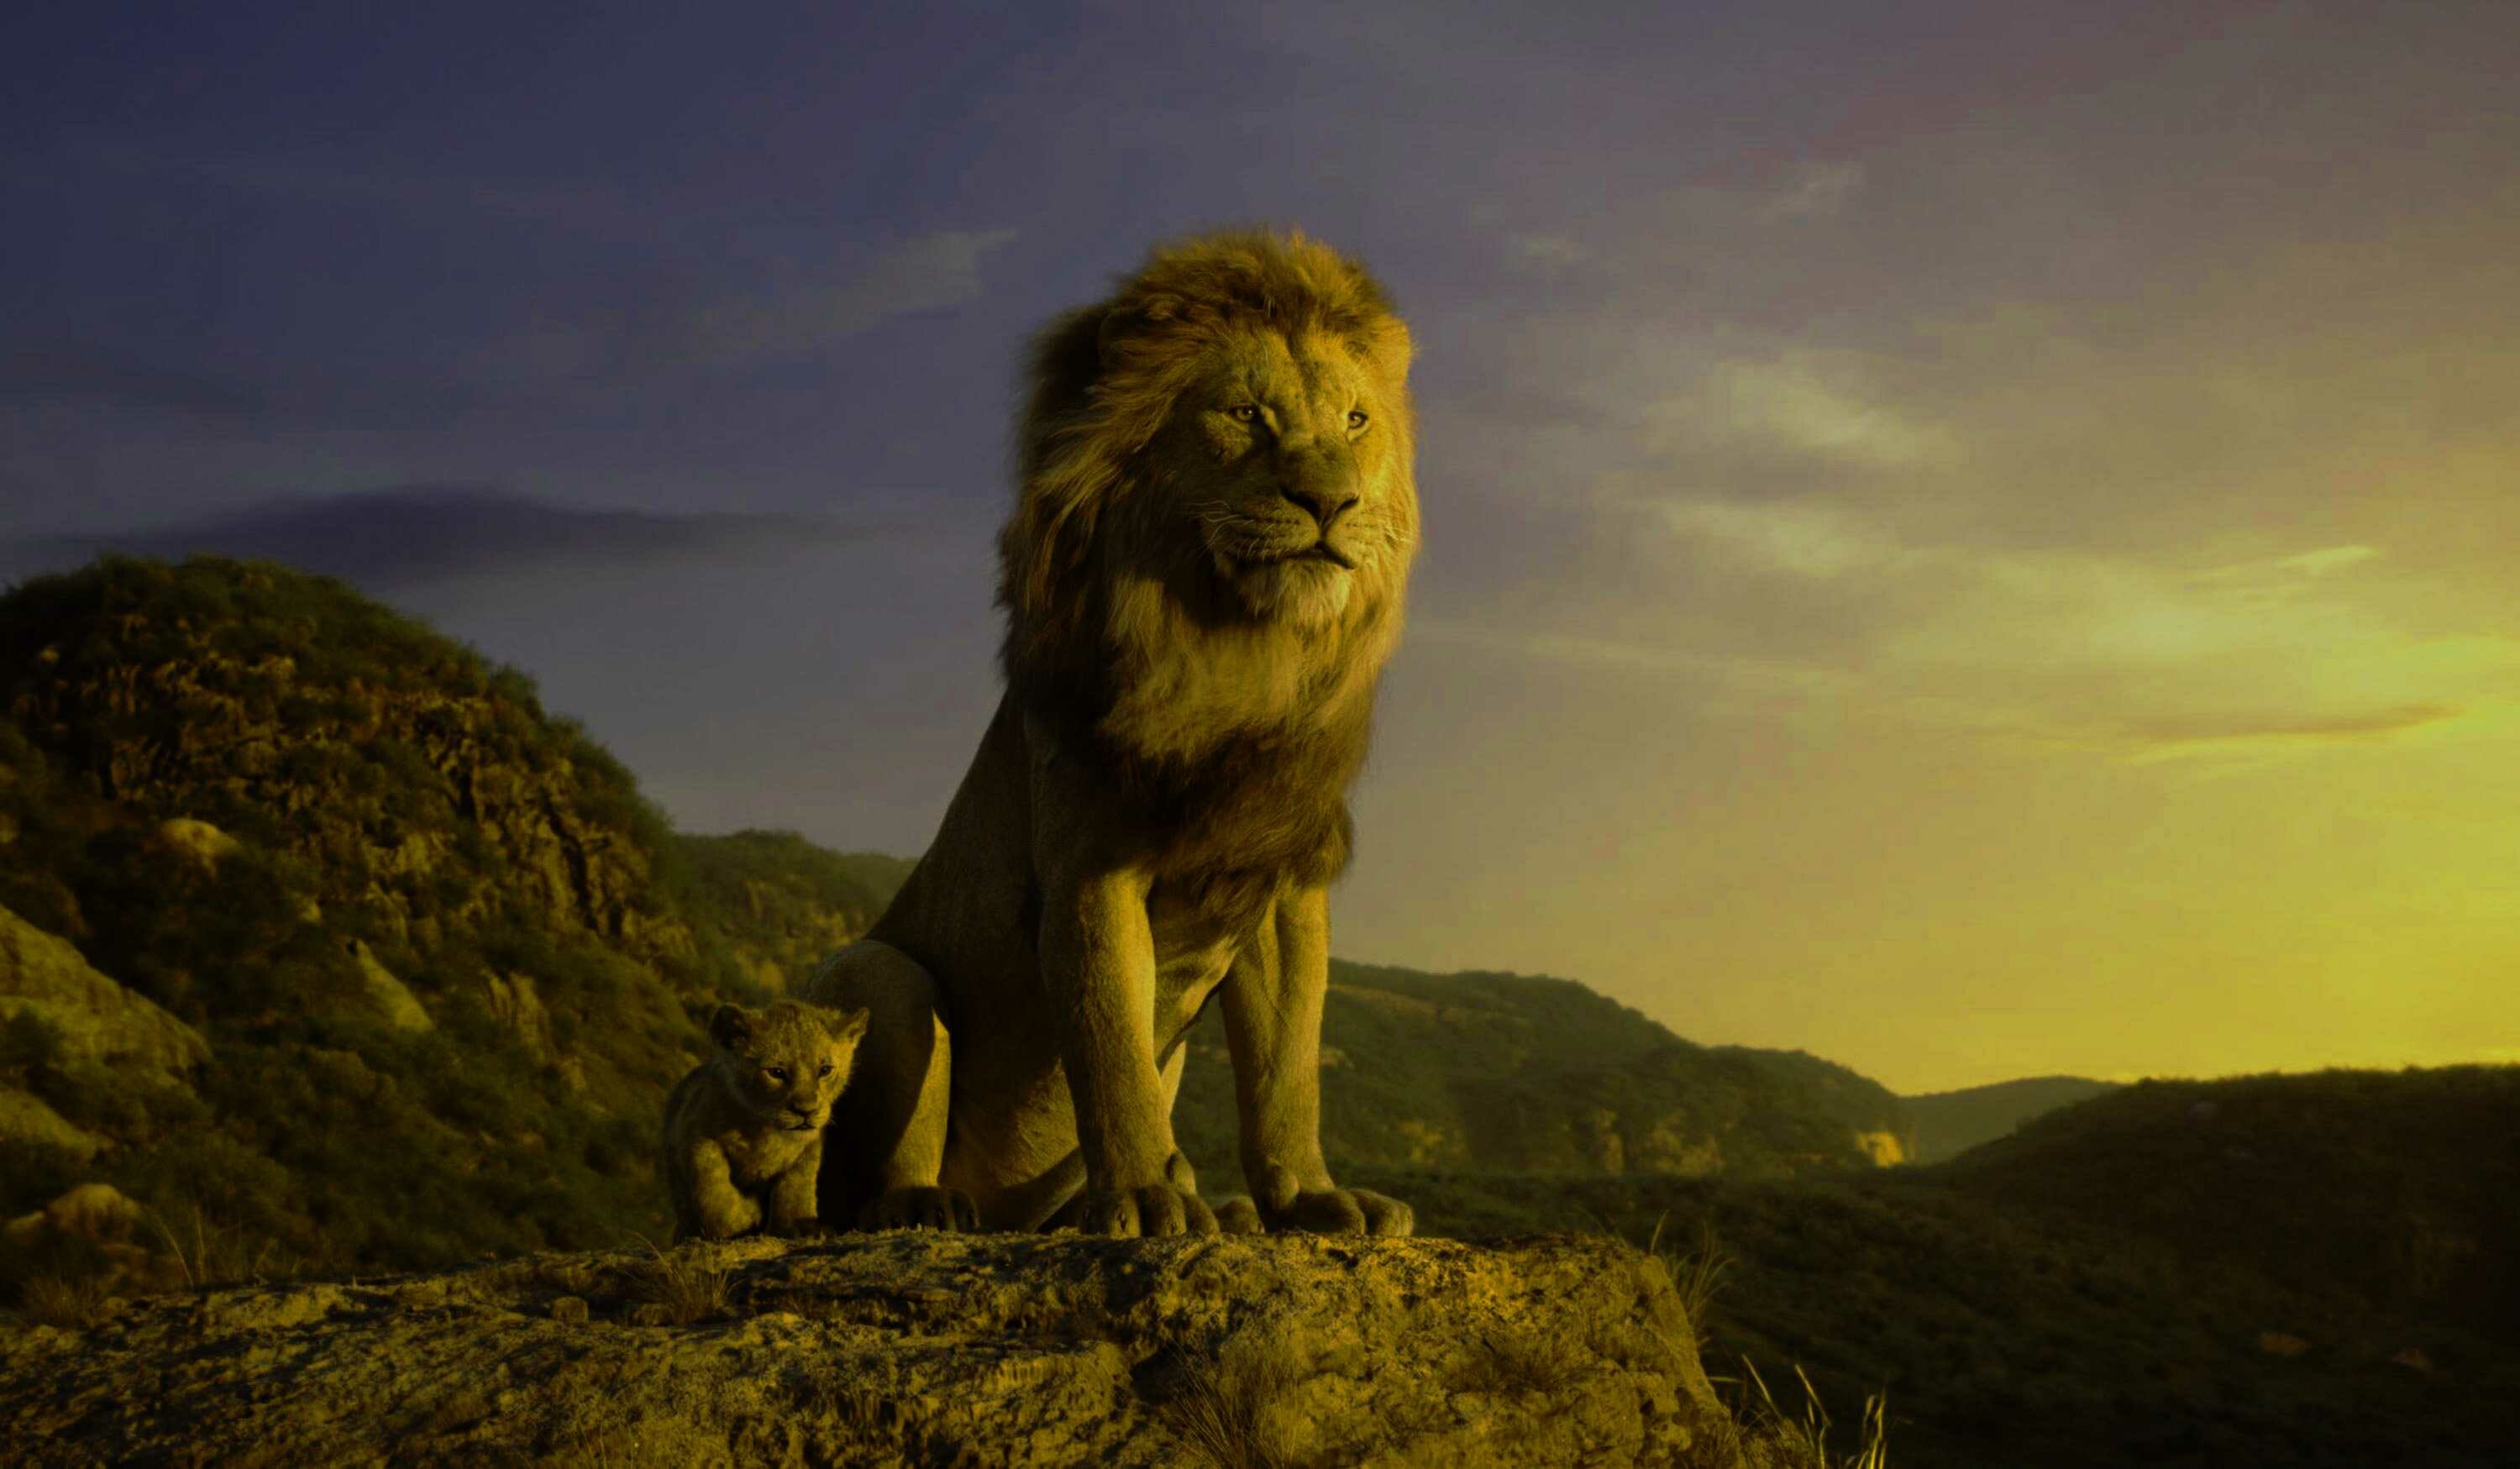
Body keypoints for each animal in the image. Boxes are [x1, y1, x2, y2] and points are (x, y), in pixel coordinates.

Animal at [662, 1000, 870, 1241]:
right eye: (776, 1072)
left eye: (825, 1070)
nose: (806, 1111)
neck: (766, 1131)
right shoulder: (696, 1136)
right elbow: (713, 1188)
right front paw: (743, 1218)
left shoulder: (809, 1148)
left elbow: (796, 1186)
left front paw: (799, 1226)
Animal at [805, 227, 1419, 1238]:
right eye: (1246, 414)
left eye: (1357, 421)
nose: (1332, 502)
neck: (1240, 656)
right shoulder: (1092, 869)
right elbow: (1111, 1046)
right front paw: (1141, 1196)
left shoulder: (1282, 884)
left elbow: (1287, 1070)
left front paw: (1309, 1197)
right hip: (882, 974)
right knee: (872, 1174)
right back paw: (931, 1206)